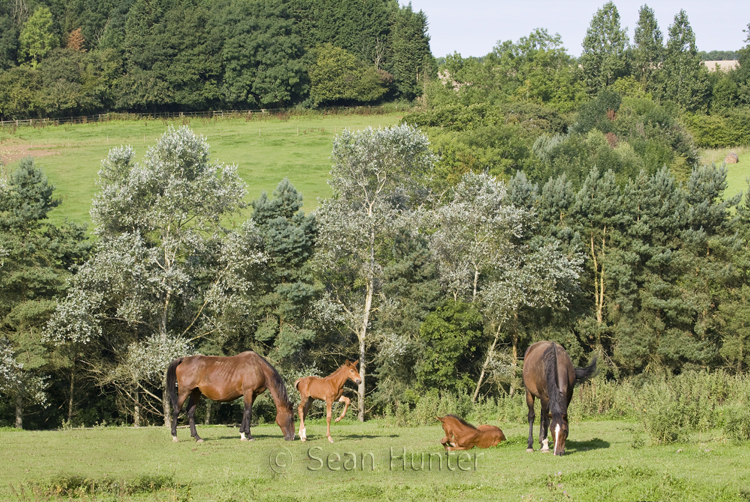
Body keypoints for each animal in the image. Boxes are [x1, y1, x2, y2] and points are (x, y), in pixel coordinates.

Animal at [166, 352, 296, 442]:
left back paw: (197, 437)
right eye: (291, 418)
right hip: (184, 391)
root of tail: (184, 359)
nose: (292, 437)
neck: (258, 367)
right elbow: (248, 412)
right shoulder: (248, 392)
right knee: (177, 410)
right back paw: (175, 436)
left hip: (195, 392)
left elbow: (245, 412)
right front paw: (249, 436)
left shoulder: (252, 394)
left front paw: (242, 435)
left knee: (190, 412)